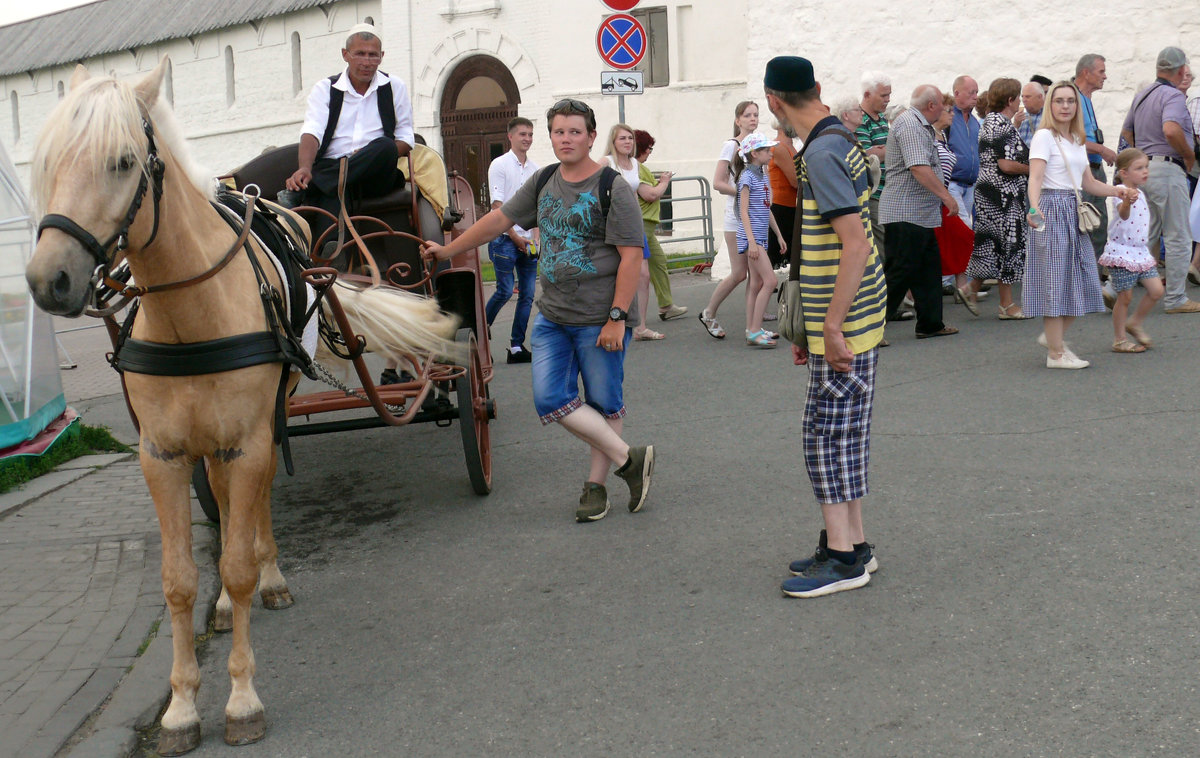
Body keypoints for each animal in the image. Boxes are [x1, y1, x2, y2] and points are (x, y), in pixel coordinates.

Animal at [29, 57, 458, 753]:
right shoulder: (162, 456)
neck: (189, 317)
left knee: (256, 502)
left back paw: (271, 577)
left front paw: (241, 698)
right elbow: (181, 581)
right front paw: (180, 707)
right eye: (48, 162)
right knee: (233, 503)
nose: (49, 281)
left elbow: (233, 564)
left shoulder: (249, 439)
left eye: (121, 161)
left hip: (265, 418)